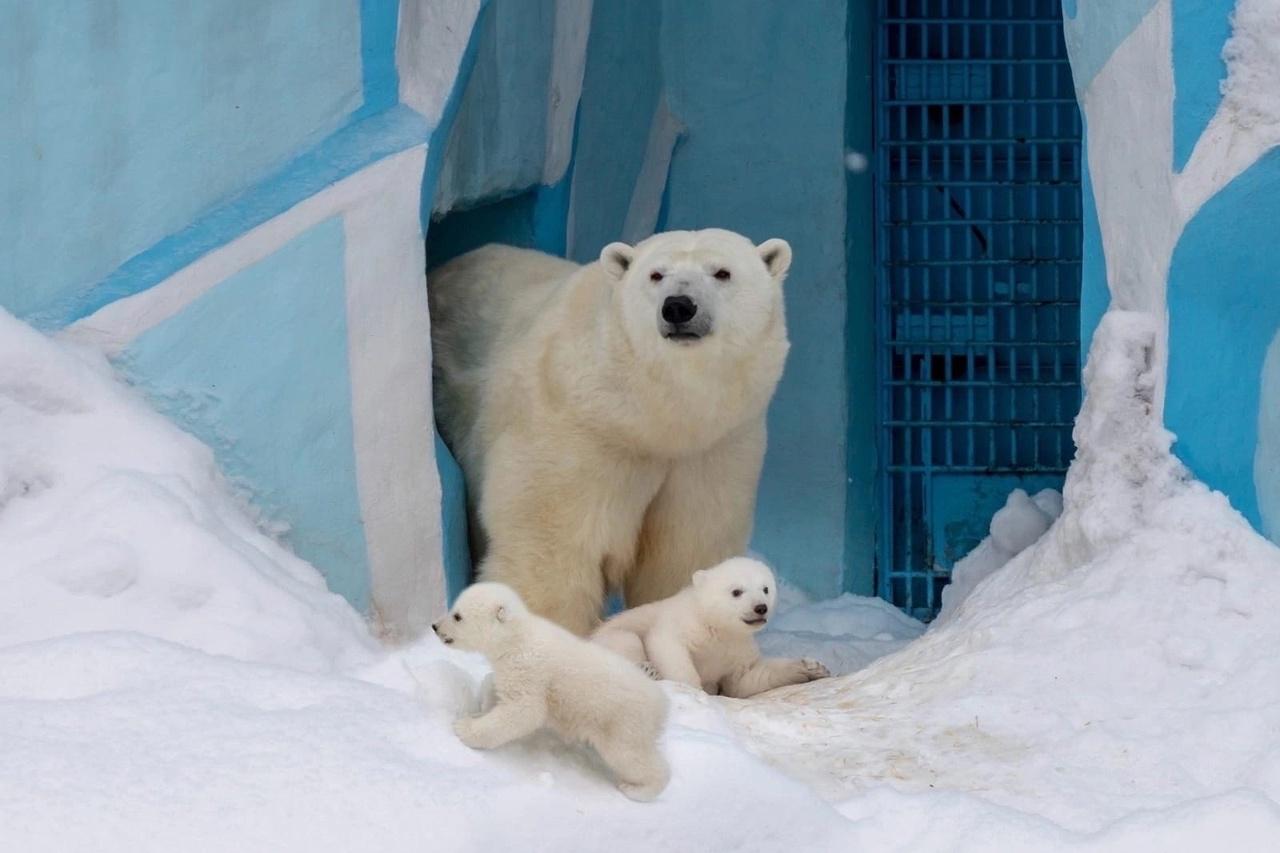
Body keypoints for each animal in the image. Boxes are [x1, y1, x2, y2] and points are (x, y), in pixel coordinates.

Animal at [432, 225, 788, 630]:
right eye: (656, 274)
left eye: (722, 272)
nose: (678, 306)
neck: (648, 420)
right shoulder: (575, 433)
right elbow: (551, 547)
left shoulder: (714, 449)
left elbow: (683, 551)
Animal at [432, 578, 670, 799]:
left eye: (457, 616)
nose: (435, 626)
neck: (517, 638)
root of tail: (660, 704)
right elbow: (498, 685)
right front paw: (482, 707)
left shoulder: (528, 668)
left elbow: (525, 711)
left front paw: (464, 727)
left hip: (621, 723)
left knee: (630, 756)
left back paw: (638, 789)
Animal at [588, 555, 829, 696]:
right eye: (736, 591)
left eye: (766, 589)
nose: (761, 608)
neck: (717, 627)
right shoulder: (684, 623)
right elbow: (668, 646)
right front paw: (696, 691)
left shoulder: (737, 650)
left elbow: (746, 680)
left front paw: (812, 667)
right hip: (612, 636)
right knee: (626, 640)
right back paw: (647, 670)